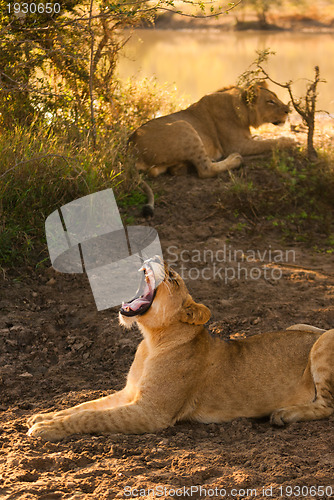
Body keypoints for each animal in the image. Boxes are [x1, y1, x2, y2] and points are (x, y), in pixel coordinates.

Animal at [129, 81, 296, 216]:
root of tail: (131, 148)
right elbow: (270, 143)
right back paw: (235, 159)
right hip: (185, 126)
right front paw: (289, 140)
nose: (289, 110)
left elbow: (261, 139)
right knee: (206, 170)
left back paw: (182, 167)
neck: (240, 107)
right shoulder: (238, 145)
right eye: (270, 101)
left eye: (276, 97)